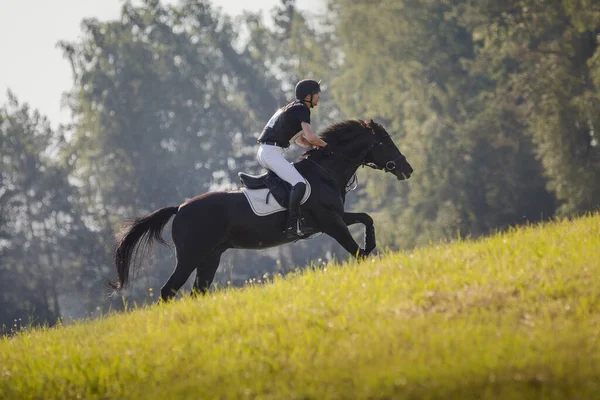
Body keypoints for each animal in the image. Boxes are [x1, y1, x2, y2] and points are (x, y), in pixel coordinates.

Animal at [111, 119, 412, 300]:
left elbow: (366, 219)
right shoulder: (331, 223)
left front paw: (371, 242)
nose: (407, 169)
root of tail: (181, 207)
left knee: (198, 290)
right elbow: (357, 252)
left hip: (210, 256)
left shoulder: (335, 218)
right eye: (385, 142)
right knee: (168, 290)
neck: (324, 171)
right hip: (189, 256)